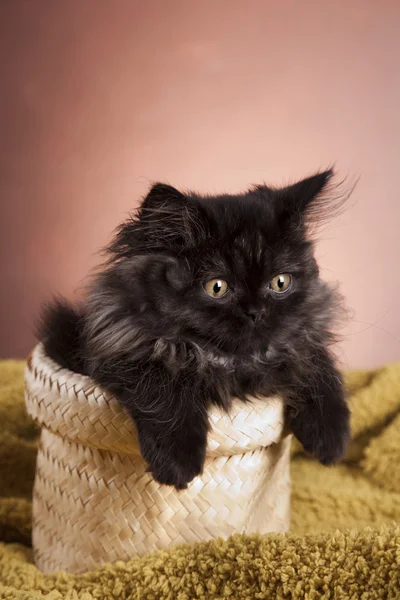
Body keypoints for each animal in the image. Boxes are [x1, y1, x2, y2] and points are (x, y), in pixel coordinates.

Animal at [38, 171, 350, 490]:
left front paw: (331, 438)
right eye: (217, 287)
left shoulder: (300, 345)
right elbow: (164, 386)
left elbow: (319, 367)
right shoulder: (120, 348)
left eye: (280, 282)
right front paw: (179, 464)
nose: (256, 312)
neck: (230, 361)